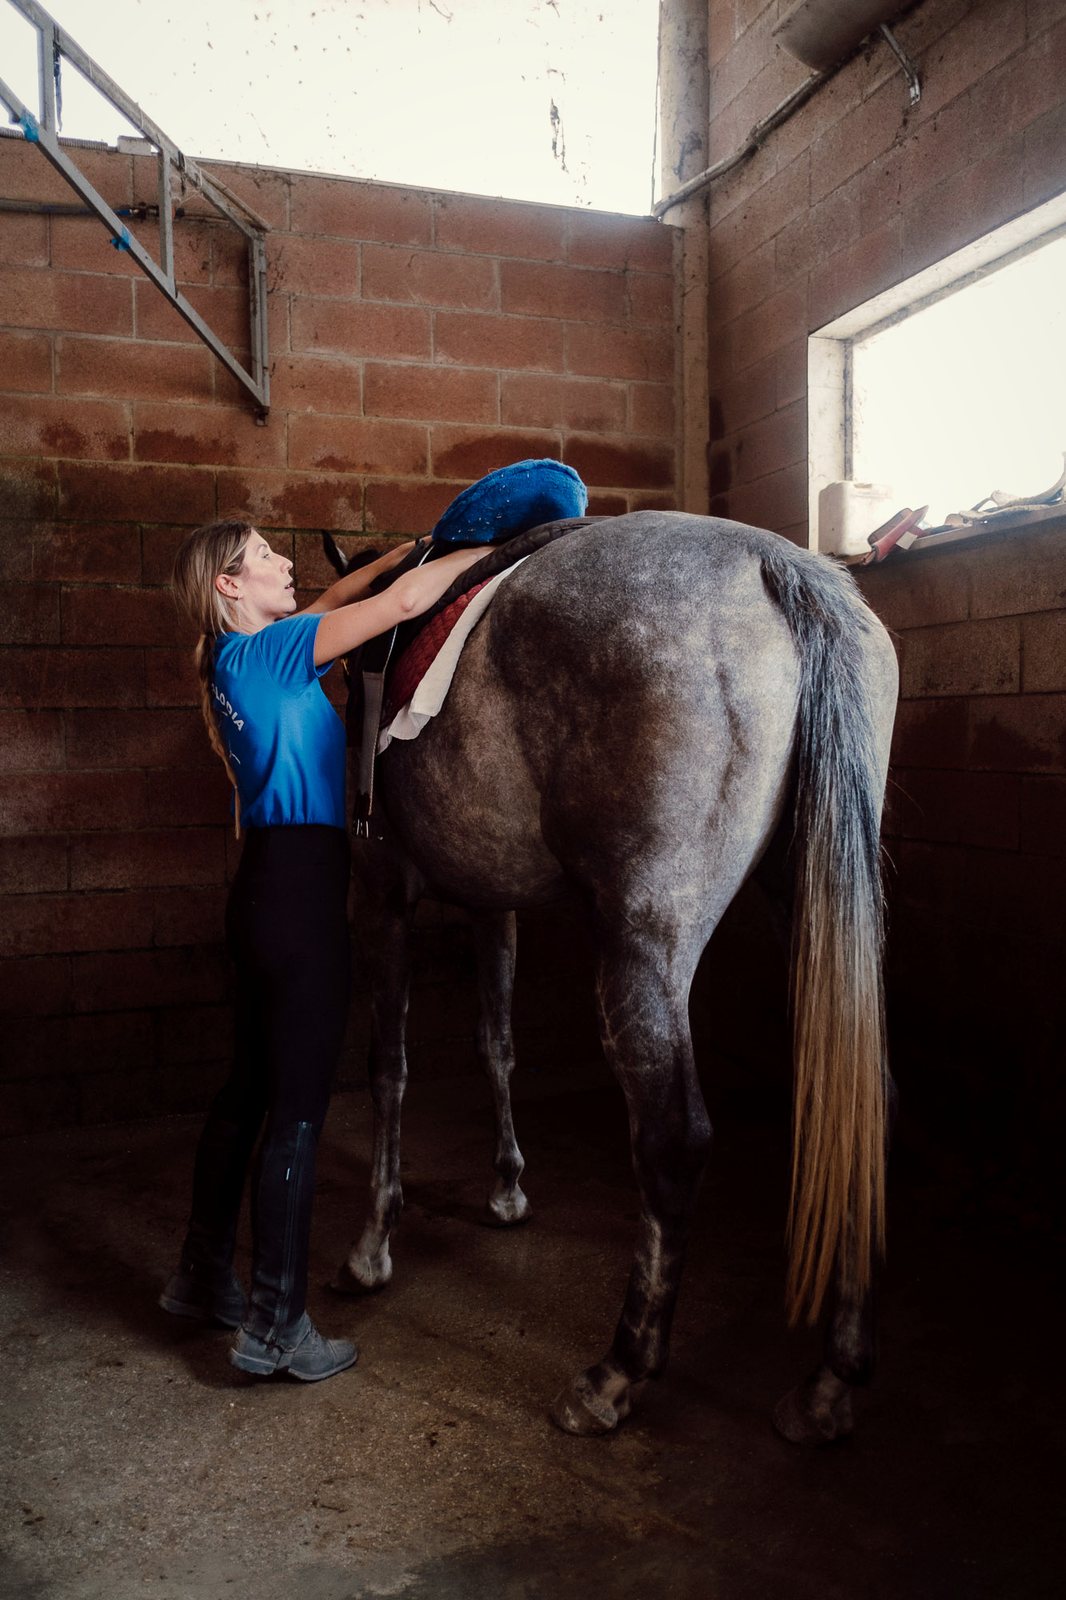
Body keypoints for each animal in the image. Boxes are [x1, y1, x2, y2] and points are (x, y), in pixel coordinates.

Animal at [323, 510, 898, 1443]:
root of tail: (778, 567)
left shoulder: (382, 895)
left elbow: (390, 1068)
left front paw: (372, 1246)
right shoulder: (494, 906)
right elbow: (496, 1044)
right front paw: (507, 1190)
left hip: (643, 943)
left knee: (673, 1139)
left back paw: (618, 1373)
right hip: (813, 909)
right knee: (853, 1100)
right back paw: (830, 1381)